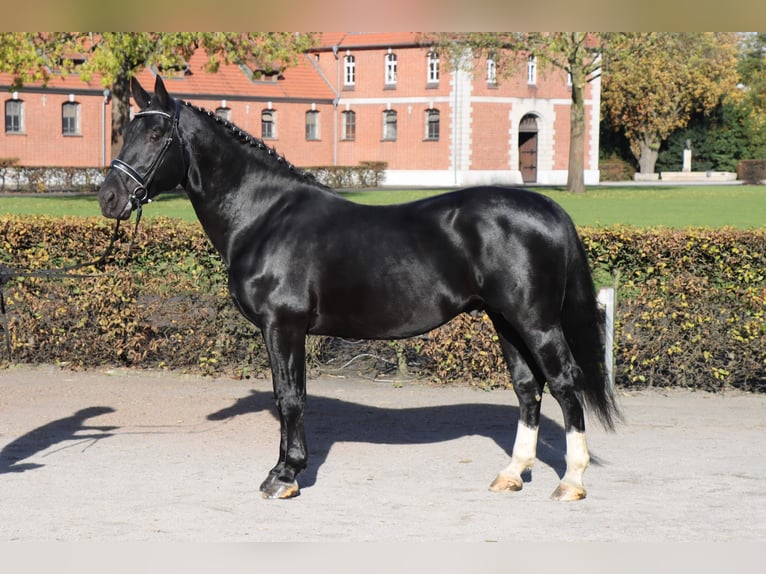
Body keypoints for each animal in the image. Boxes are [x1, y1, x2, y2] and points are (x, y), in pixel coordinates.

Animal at [98, 75, 619, 500]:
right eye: (125, 131)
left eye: (157, 134)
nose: (109, 198)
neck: (264, 216)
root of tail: (548, 207)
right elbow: (287, 395)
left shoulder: (283, 326)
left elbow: (290, 397)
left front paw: (285, 476)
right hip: (504, 319)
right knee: (528, 387)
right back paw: (512, 474)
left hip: (536, 321)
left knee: (565, 382)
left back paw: (571, 481)